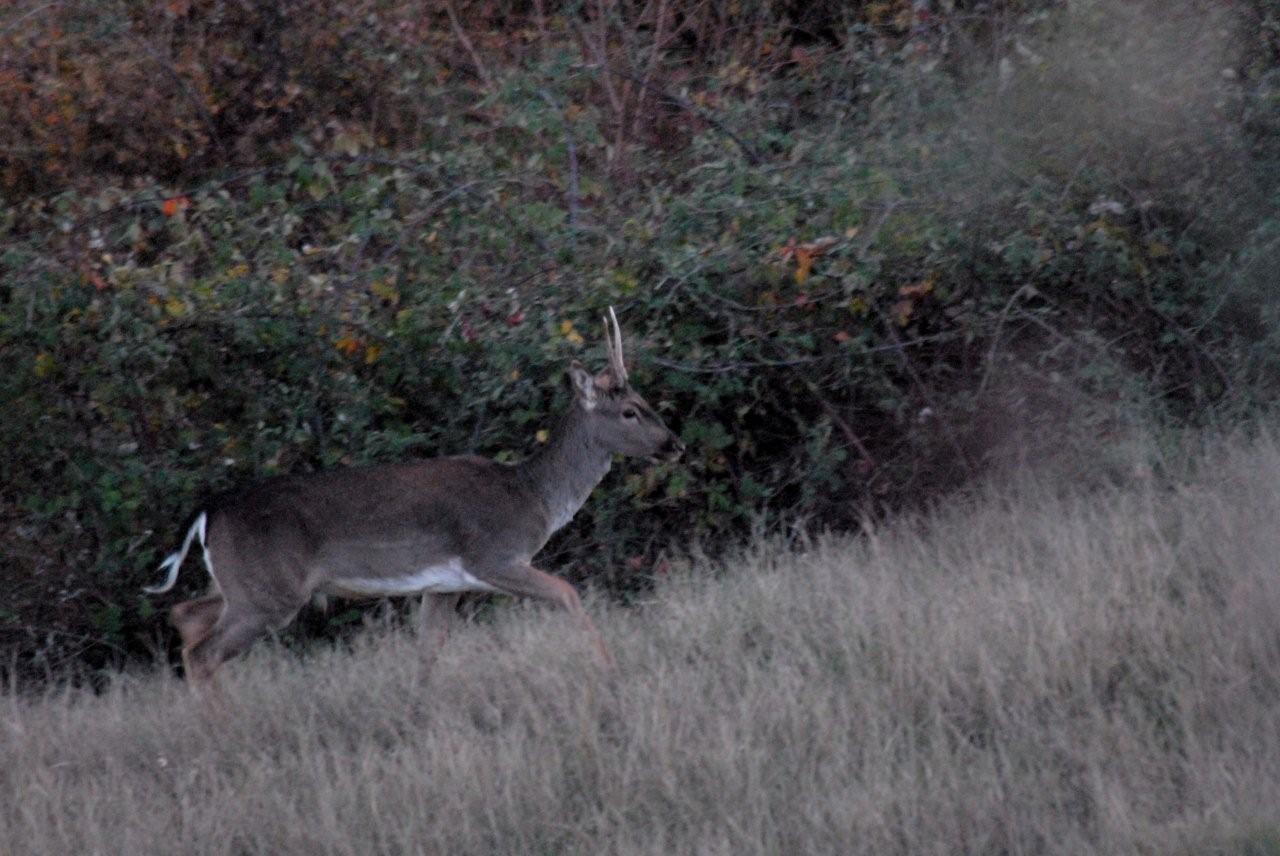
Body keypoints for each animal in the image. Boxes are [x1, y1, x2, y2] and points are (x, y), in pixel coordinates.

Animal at [141, 310, 686, 685]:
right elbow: (569, 594)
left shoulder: (442, 584)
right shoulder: (493, 556)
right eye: (631, 411)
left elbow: (428, 651)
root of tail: (208, 513)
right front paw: (610, 669)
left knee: (185, 617)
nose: (674, 444)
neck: (531, 496)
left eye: (643, 403)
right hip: (270, 593)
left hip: (244, 584)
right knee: (203, 652)